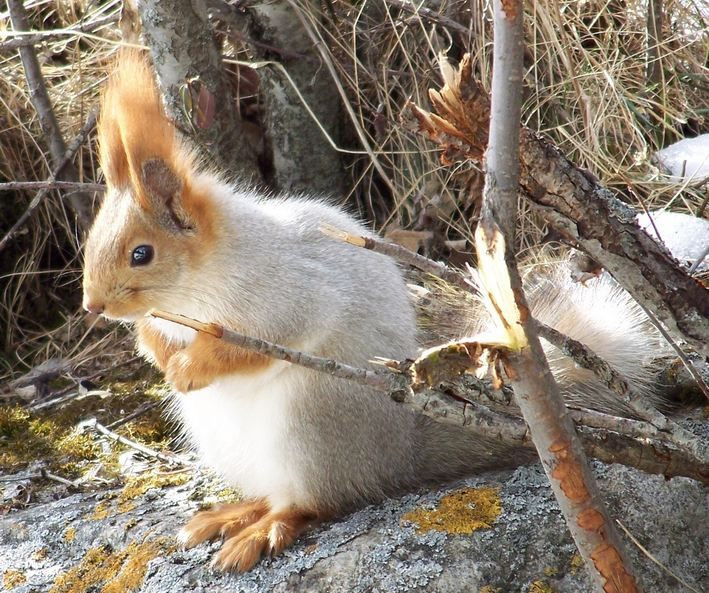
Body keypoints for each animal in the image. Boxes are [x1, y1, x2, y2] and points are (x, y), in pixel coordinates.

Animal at [82, 51, 670, 572]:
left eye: (141, 254)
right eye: (91, 239)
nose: (93, 305)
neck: (187, 291)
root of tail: (400, 457)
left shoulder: (288, 292)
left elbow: (265, 339)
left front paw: (188, 367)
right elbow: (156, 337)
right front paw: (159, 355)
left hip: (314, 430)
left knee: (312, 504)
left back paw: (262, 531)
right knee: (273, 494)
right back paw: (231, 515)